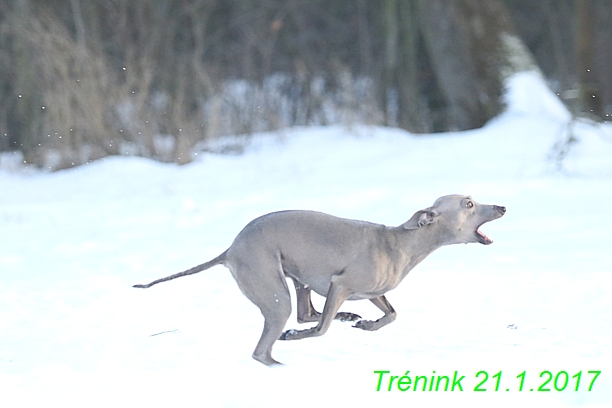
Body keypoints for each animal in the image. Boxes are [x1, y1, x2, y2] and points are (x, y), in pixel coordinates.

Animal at [135, 194, 506, 366]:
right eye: (468, 203)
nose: (502, 207)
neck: (402, 242)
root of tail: (230, 249)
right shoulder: (340, 284)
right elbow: (320, 330)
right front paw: (300, 336)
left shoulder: (370, 291)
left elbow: (391, 314)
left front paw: (366, 325)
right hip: (275, 291)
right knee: (269, 345)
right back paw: (284, 360)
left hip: (296, 279)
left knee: (306, 312)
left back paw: (347, 316)